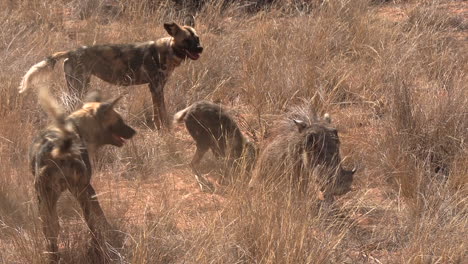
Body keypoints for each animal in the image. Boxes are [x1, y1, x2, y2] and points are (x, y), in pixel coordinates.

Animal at [18, 18, 202, 130]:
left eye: (197, 38)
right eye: (187, 40)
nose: (201, 48)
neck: (169, 50)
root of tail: (72, 51)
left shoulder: (157, 87)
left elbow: (160, 111)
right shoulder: (155, 87)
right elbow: (160, 113)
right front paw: (162, 129)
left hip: (80, 85)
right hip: (79, 86)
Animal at [30, 82, 135, 262]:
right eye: (120, 121)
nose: (134, 131)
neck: (78, 127)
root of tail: (59, 150)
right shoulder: (87, 187)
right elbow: (99, 214)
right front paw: (110, 230)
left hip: (46, 199)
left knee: (50, 231)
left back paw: (54, 257)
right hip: (78, 193)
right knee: (91, 225)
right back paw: (99, 250)